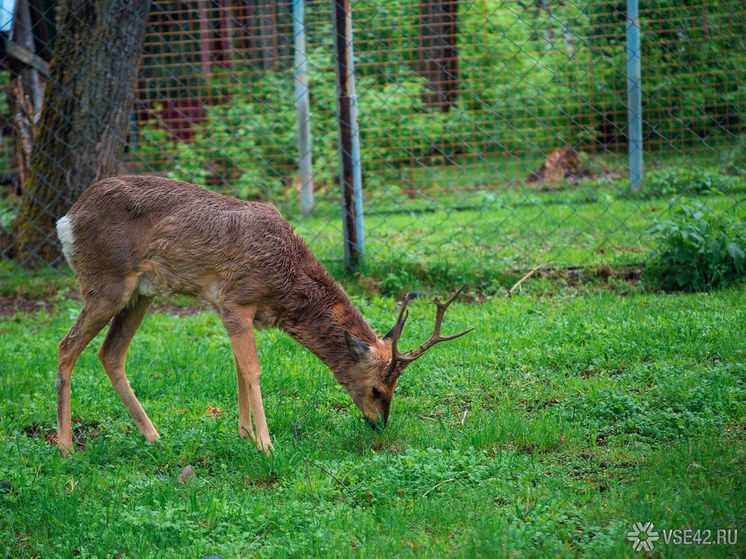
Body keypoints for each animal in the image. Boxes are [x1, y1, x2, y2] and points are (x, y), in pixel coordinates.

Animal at [55, 175, 470, 456]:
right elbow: (253, 369)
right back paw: (65, 446)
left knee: (110, 354)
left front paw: (245, 434)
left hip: (140, 294)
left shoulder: (235, 311)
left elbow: (238, 367)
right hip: (105, 284)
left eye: (394, 389)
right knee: (66, 347)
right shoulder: (234, 299)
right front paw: (266, 444)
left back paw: (154, 436)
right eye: (376, 389)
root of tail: (66, 220)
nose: (379, 424)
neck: (283, 279)